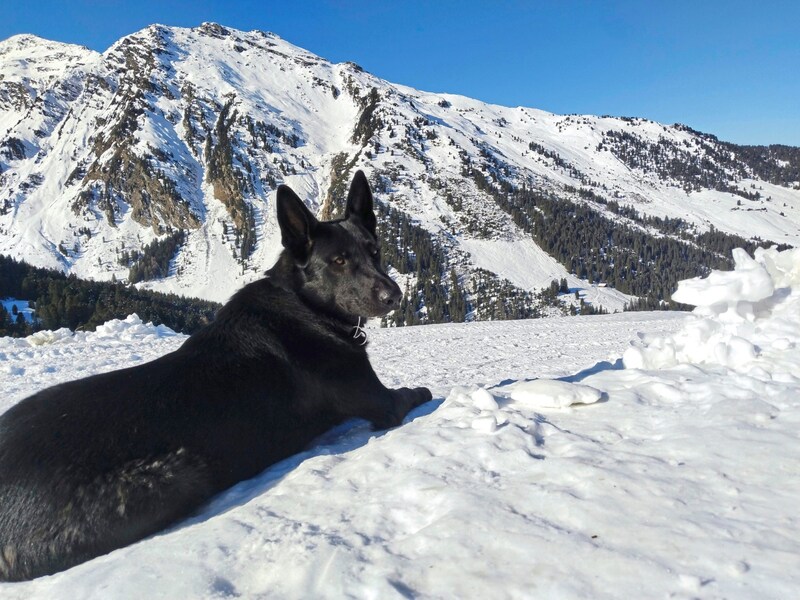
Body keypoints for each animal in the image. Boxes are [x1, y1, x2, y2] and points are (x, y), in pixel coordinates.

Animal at [0, 171, 432, 584]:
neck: (305, 305)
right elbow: (416, 392)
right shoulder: (381, 402)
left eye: (375, 252)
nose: (394, 296)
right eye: (339, 261)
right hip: (178, 474)